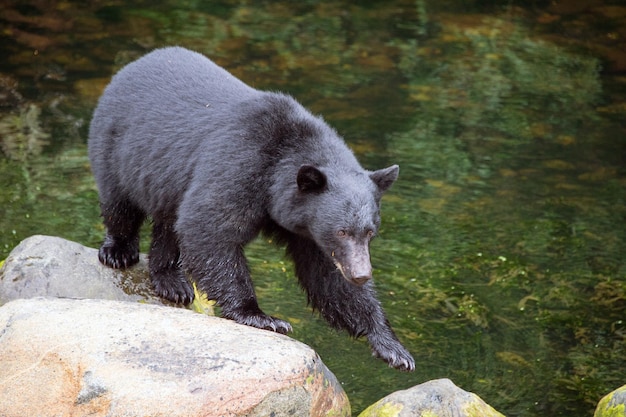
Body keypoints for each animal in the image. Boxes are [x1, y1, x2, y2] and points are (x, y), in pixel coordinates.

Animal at [85, 46, 412, 370]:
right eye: (341, 231)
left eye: (370, 232)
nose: (362, 274)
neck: (281, 162)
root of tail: (133, 65)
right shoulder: (241, 163)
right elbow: (209, 228)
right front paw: (261, 316)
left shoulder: (307, 229)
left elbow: (327, 278)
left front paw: (391, 345)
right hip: (118, 146)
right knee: (120, 204)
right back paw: (119, 252)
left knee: (169, 223)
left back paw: (172, 282)